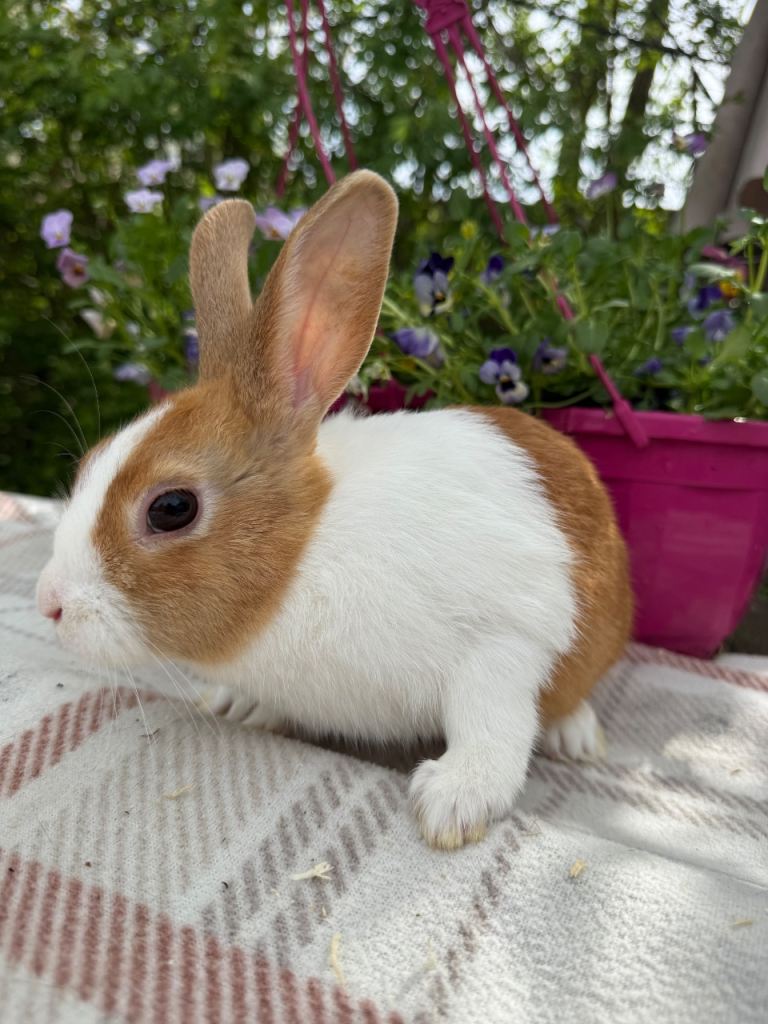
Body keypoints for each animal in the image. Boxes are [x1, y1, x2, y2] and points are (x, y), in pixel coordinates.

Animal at [37, 170, 632, 849]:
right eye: (90, 464)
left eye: (171, 507)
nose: (50, 604)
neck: (303, 553)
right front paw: (238, 703)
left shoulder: (502, 639)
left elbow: (491, 723)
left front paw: (454, 804)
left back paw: (575, 735)